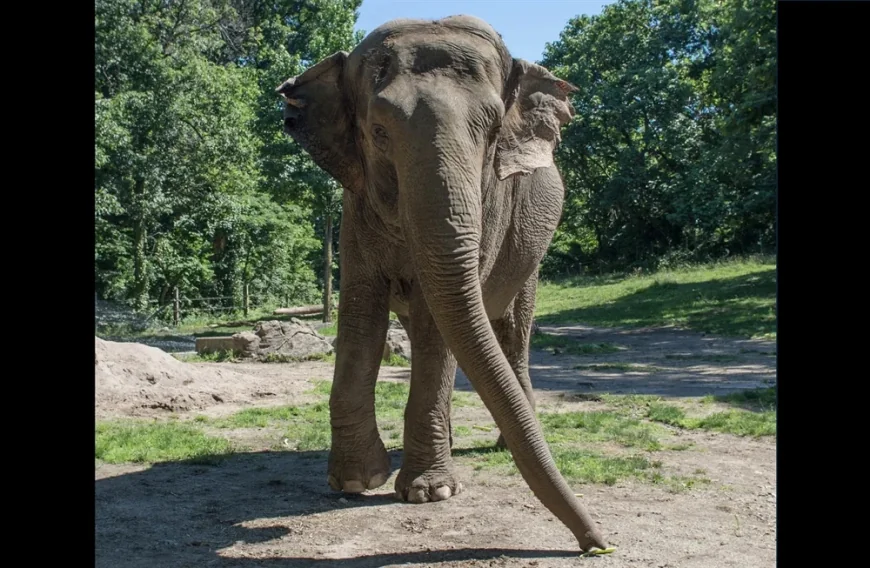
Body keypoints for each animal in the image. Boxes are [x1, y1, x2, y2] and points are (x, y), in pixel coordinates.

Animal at [277, 15, 608, 552]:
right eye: (377, 131)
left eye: (493, 131)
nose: (595, 542)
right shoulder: (355, 206)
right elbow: (360, 317)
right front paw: (355, 482)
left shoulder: (493, 204)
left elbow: (438, 325)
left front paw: (430, 494)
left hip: (531, 255)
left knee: (511, 331)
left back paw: (500, 443)